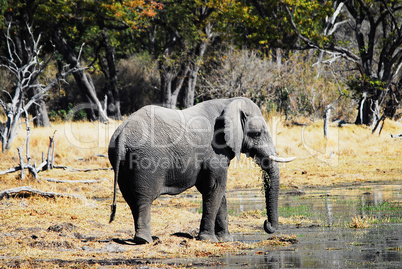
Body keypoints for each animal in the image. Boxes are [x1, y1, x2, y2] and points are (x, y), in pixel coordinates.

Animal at [108, 96, 294, 243]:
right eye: (257, 133)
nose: (266, 224)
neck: (229, 102)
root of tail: (122, 134)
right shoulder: (215, 150)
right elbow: (215, 187)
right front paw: (209, 240)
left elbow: (218, 191)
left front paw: (226, 240)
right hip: (145, 161)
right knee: (144, 199)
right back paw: (145, 240)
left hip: (124, 164)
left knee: (130, 199)